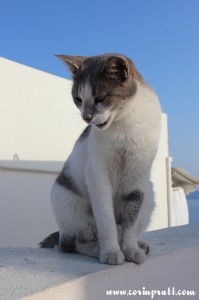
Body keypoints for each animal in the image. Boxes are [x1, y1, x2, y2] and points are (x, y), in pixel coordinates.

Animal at [40, 53, 162, 264]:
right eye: (78, 99)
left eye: (101, 98)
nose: (86, 118)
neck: (124, 124)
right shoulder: (97, 173)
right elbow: (106, 220)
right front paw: (111, 251)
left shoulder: (138, 178)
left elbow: (130, 222)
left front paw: (131, 248)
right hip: (68, 202)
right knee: (71, 245)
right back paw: (96, 248)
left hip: (149, 195)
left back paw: (139, 244)